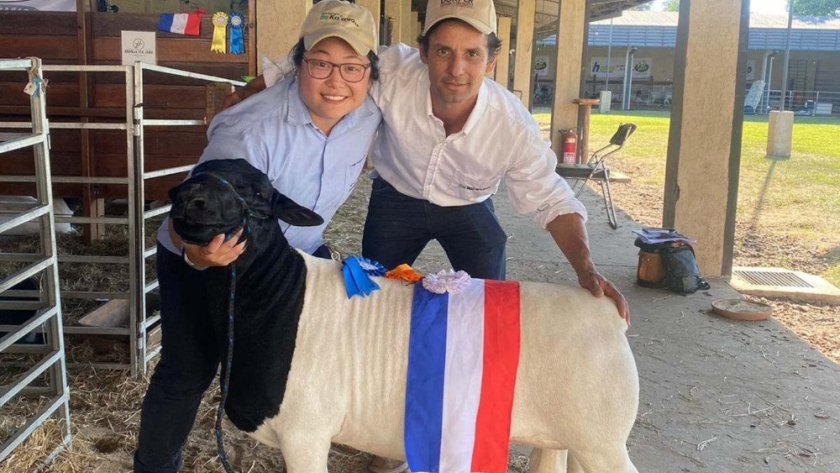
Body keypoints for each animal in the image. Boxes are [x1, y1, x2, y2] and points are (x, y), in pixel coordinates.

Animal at [171, 159, 644, 472]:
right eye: (194, 173)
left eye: (257, 192)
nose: (190, 200)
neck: (277, 302)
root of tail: (607, 312)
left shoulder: (306, 434)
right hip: (561, 439)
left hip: (602, 441)